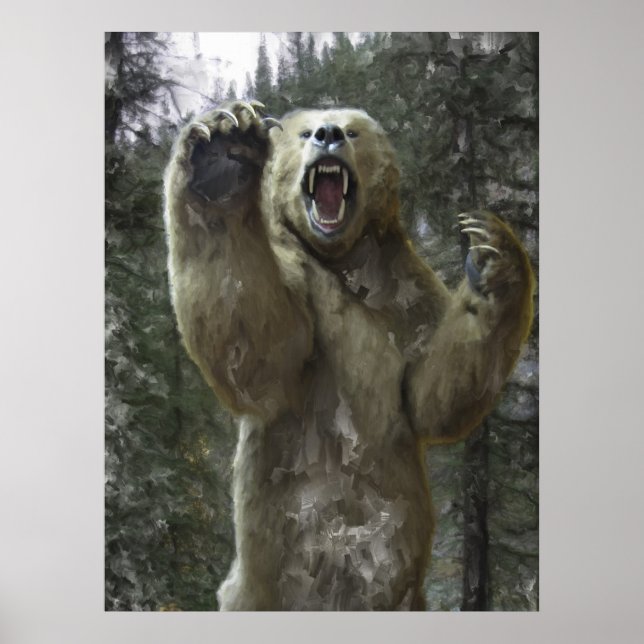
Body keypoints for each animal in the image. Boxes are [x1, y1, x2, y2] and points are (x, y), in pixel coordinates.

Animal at [163, 100, 534, 610]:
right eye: (303, 133)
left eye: (354, 132)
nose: (328, 133)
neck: (341, 260)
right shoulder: (291, 275)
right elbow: (258, 354)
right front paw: (222, 153)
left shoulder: (406, 290)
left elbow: (430, 394)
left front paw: (494, 254)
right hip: (264, 584)